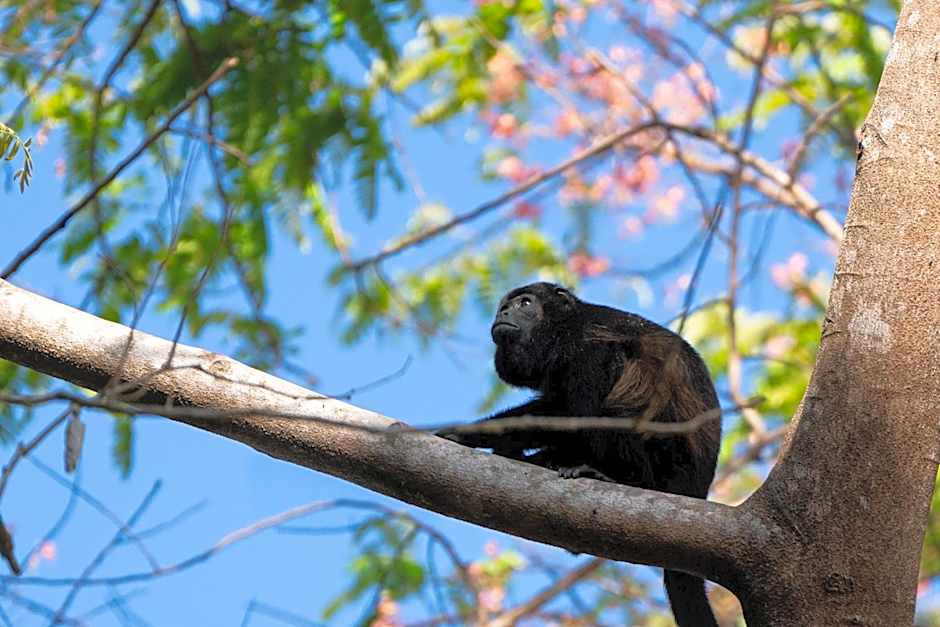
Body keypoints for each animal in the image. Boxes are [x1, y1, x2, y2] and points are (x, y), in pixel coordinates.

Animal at [440, 282, 721, 627]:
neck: (563, 330)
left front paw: (470, 434)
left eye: (525, 303)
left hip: (668, 460)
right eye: (504, 306)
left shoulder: (586, 348)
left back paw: (619, 476)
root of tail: (697, 489)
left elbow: (571, 413)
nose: (503, 312)